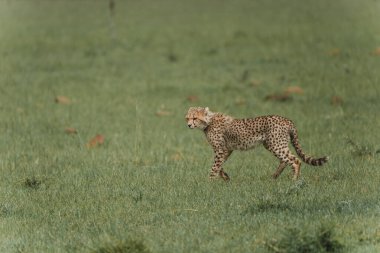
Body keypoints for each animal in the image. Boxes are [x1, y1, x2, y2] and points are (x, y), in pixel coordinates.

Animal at [186, 106, 328, 180]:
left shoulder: (221, 149)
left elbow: (215, 166)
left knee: (295, 160)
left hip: (276, 144)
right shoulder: (227, 149)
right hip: (273, 144)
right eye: (187, 118)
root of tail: (287, 120)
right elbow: (219, 165)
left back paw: (294, 180)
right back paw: (274, 176)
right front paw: (225, 177)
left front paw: (210, 182)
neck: (208, 121)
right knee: (284, 160)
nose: (188, 125)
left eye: (195, 118)